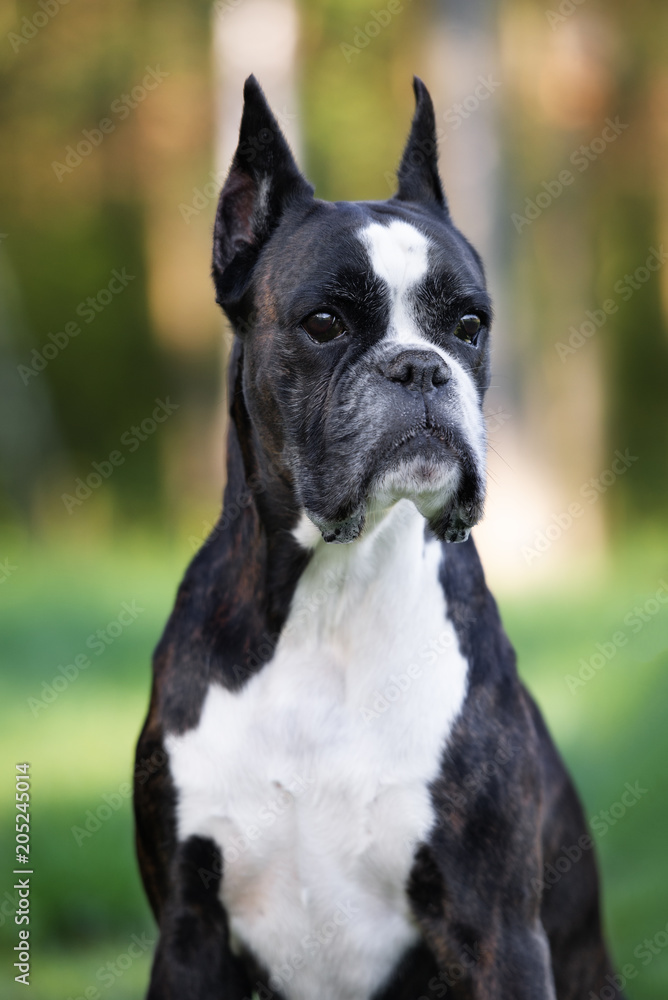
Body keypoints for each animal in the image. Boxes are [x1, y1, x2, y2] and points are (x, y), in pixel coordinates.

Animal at [134, 78, 628, 1000]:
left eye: (469, 324)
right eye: (325, 321)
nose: (420, 366)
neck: (331, 595)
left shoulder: (498, 931)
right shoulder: (188, 933)